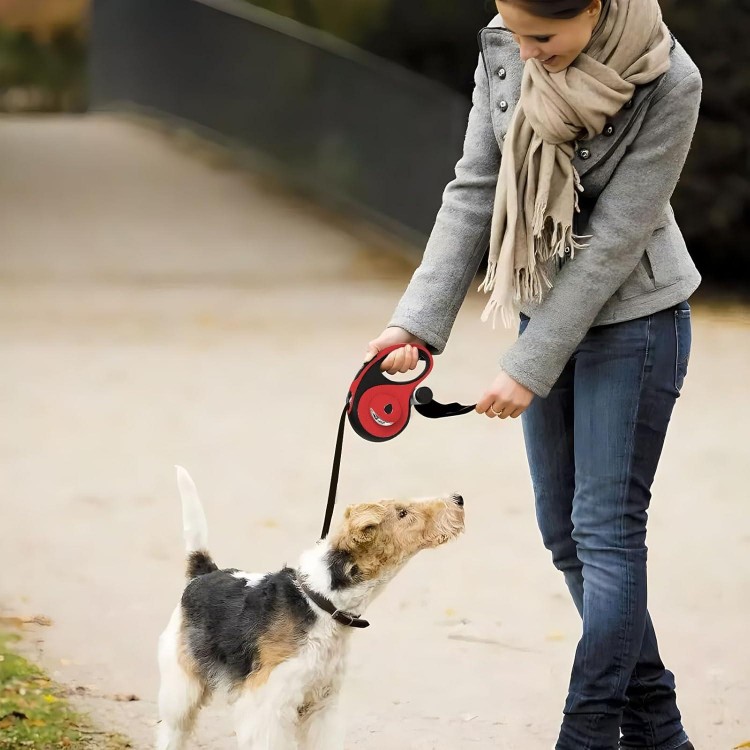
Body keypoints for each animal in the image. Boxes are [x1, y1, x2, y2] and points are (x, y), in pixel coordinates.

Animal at [158, 468, 464, 748]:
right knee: (171, 729)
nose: (458, 499)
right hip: (182, 683)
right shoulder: (269, 707)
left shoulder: (322, 704)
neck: (321, 604)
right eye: (402, 513)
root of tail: (203, 573)